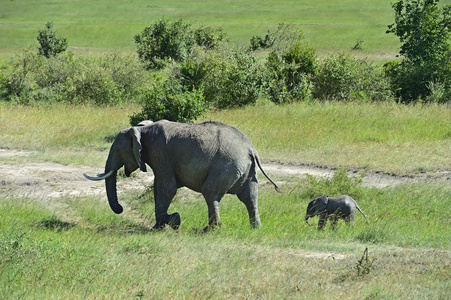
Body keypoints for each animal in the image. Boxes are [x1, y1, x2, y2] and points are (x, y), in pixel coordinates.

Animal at [84, 119, 282, 230]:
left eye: (117, 150)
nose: (120, 209)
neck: (141, 129)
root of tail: (251, 148)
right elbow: (160, 188)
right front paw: (159, 226)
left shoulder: (160, 153)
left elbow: (167, 188)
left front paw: (174, 221)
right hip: (246, 169)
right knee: (250, 196)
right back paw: (255, 229)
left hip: (227, 165)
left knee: (210, 192)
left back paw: (210, 230)